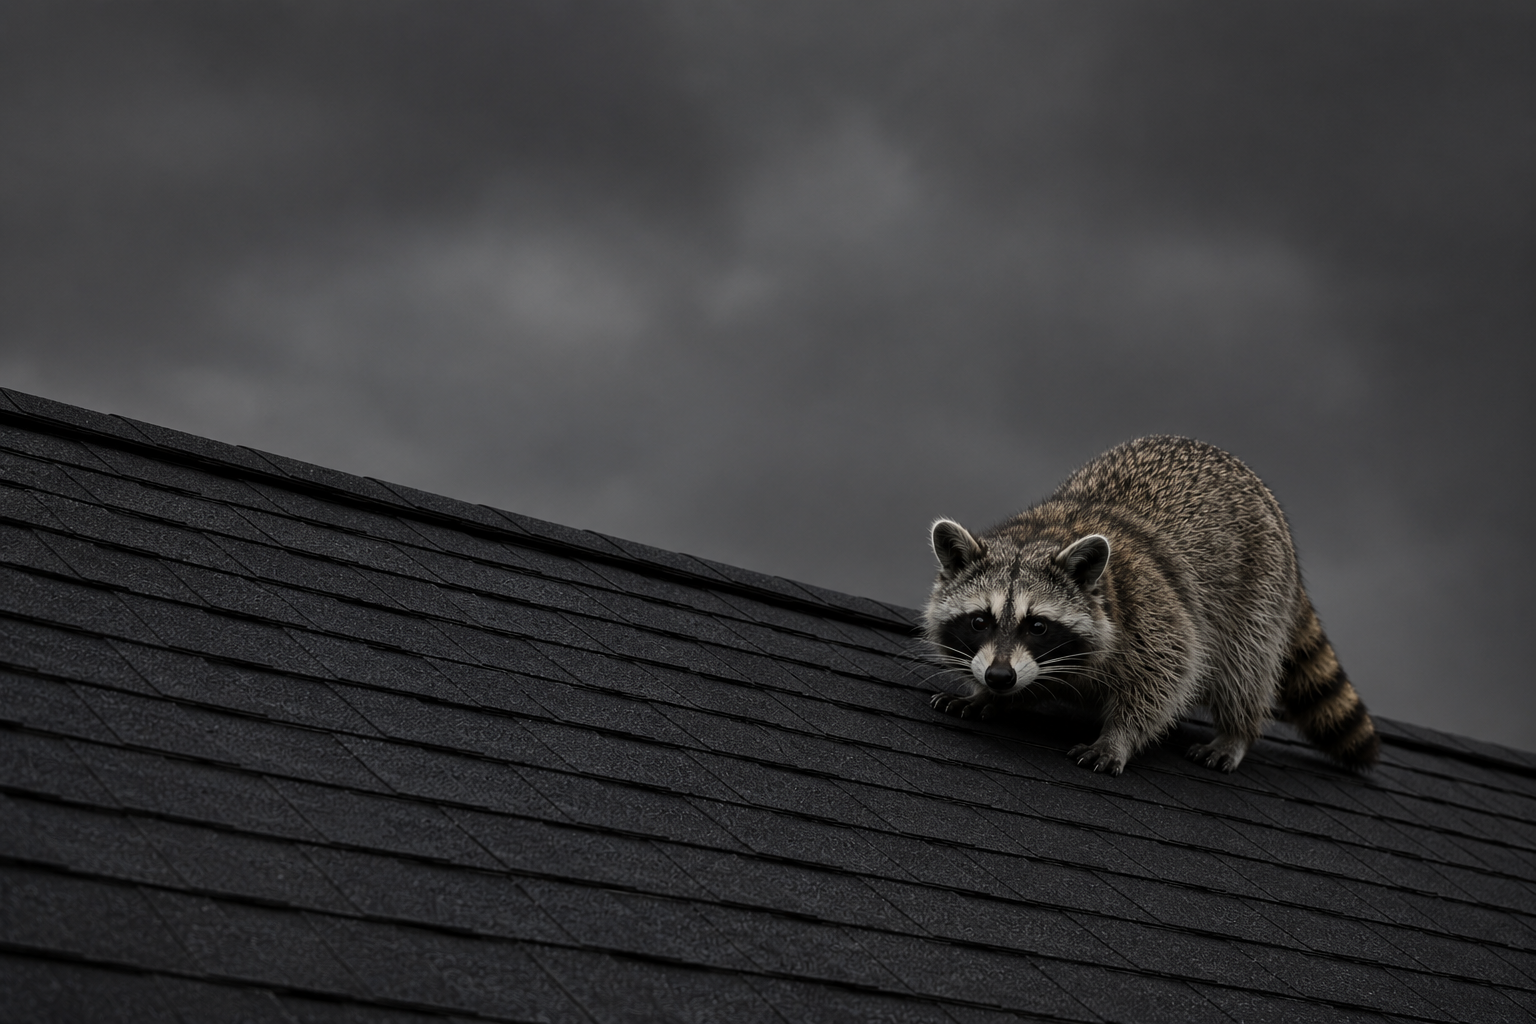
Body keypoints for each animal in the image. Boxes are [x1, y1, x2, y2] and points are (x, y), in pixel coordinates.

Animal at [924, 436, 1378, 776]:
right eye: (980, 621)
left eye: (1037, 626)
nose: (999, 677)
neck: (1038, 535)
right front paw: (985, 695)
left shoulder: (1150, 607)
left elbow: (1167, 674)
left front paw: (1119, 737)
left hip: (1258, 590)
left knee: (1245, 667)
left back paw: (1238, 730)